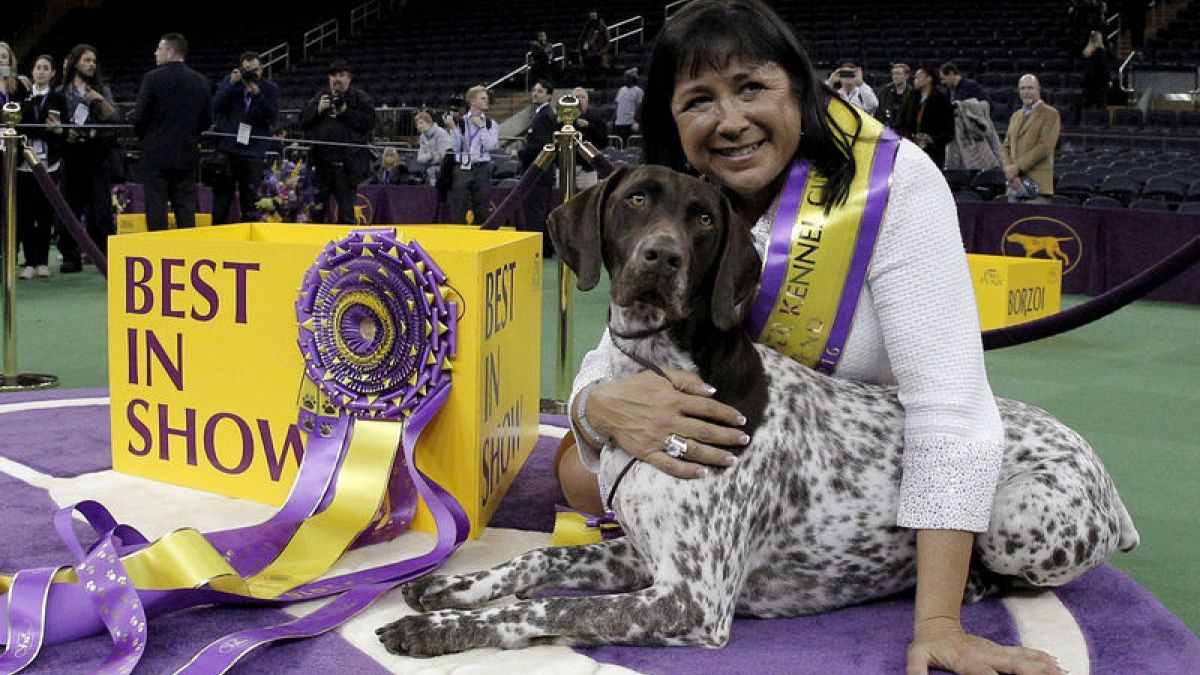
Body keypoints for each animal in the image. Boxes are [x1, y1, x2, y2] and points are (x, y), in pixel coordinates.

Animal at [379, 165, 1137, 653]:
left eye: (703, 219)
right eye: (635, 200)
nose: (661, 257)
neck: (660, 368)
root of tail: (1105, 478)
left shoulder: (693, 599)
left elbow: (544, 605)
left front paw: (439, 630)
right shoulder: (643, 556)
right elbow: (535, 563)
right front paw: (453, 586)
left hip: (1016, 513)